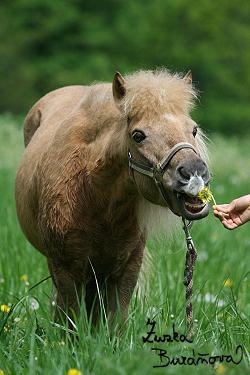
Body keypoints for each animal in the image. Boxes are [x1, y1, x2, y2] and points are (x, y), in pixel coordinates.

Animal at [15, 69, 209, 328]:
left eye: (194, 129)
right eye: (138, 135)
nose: (194, 173)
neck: (97, 198)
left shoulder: (125, 270)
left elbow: (113, 323)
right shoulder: (64, 268)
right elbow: (71, 322)